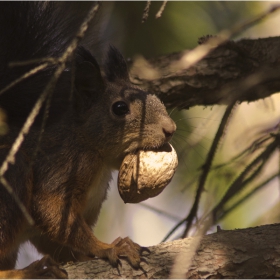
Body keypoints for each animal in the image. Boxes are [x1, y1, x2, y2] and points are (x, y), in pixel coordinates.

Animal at [0, 1, 175, 278]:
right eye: (120, 108)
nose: (170, 128)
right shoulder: (63, 166)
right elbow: (52, 211)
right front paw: (109, 248)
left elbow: (57, 241)